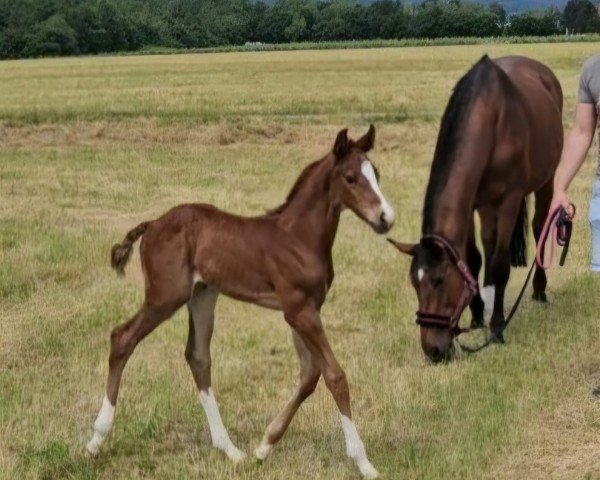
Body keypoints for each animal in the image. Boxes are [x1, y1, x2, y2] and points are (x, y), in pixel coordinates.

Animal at [85, 125, 394, 478]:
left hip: (203, 295)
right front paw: (364, 462)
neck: (299, 237)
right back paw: (96, 439)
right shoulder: (299, 311)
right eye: (351, 177)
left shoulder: (303, 310)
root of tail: (151, 224)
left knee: (198, 357)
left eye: (376, 174)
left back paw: (231, 450)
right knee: (122, 338)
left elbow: (309, 375)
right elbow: (334, 376)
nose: (386, 218)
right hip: (165, 296)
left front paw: (264, 446)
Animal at [390, 56, 564, 362]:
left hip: (545, 181)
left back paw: (539, 290)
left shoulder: (508, 201)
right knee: (489, 242)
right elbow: (473, 258)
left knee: (539, 227)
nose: (433, 351)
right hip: (487, 207)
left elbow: (500, 263)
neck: (490, 118)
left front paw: (497, 327)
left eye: (439, 280)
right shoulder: (471, 205)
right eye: (414, 283)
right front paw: (477, 315)